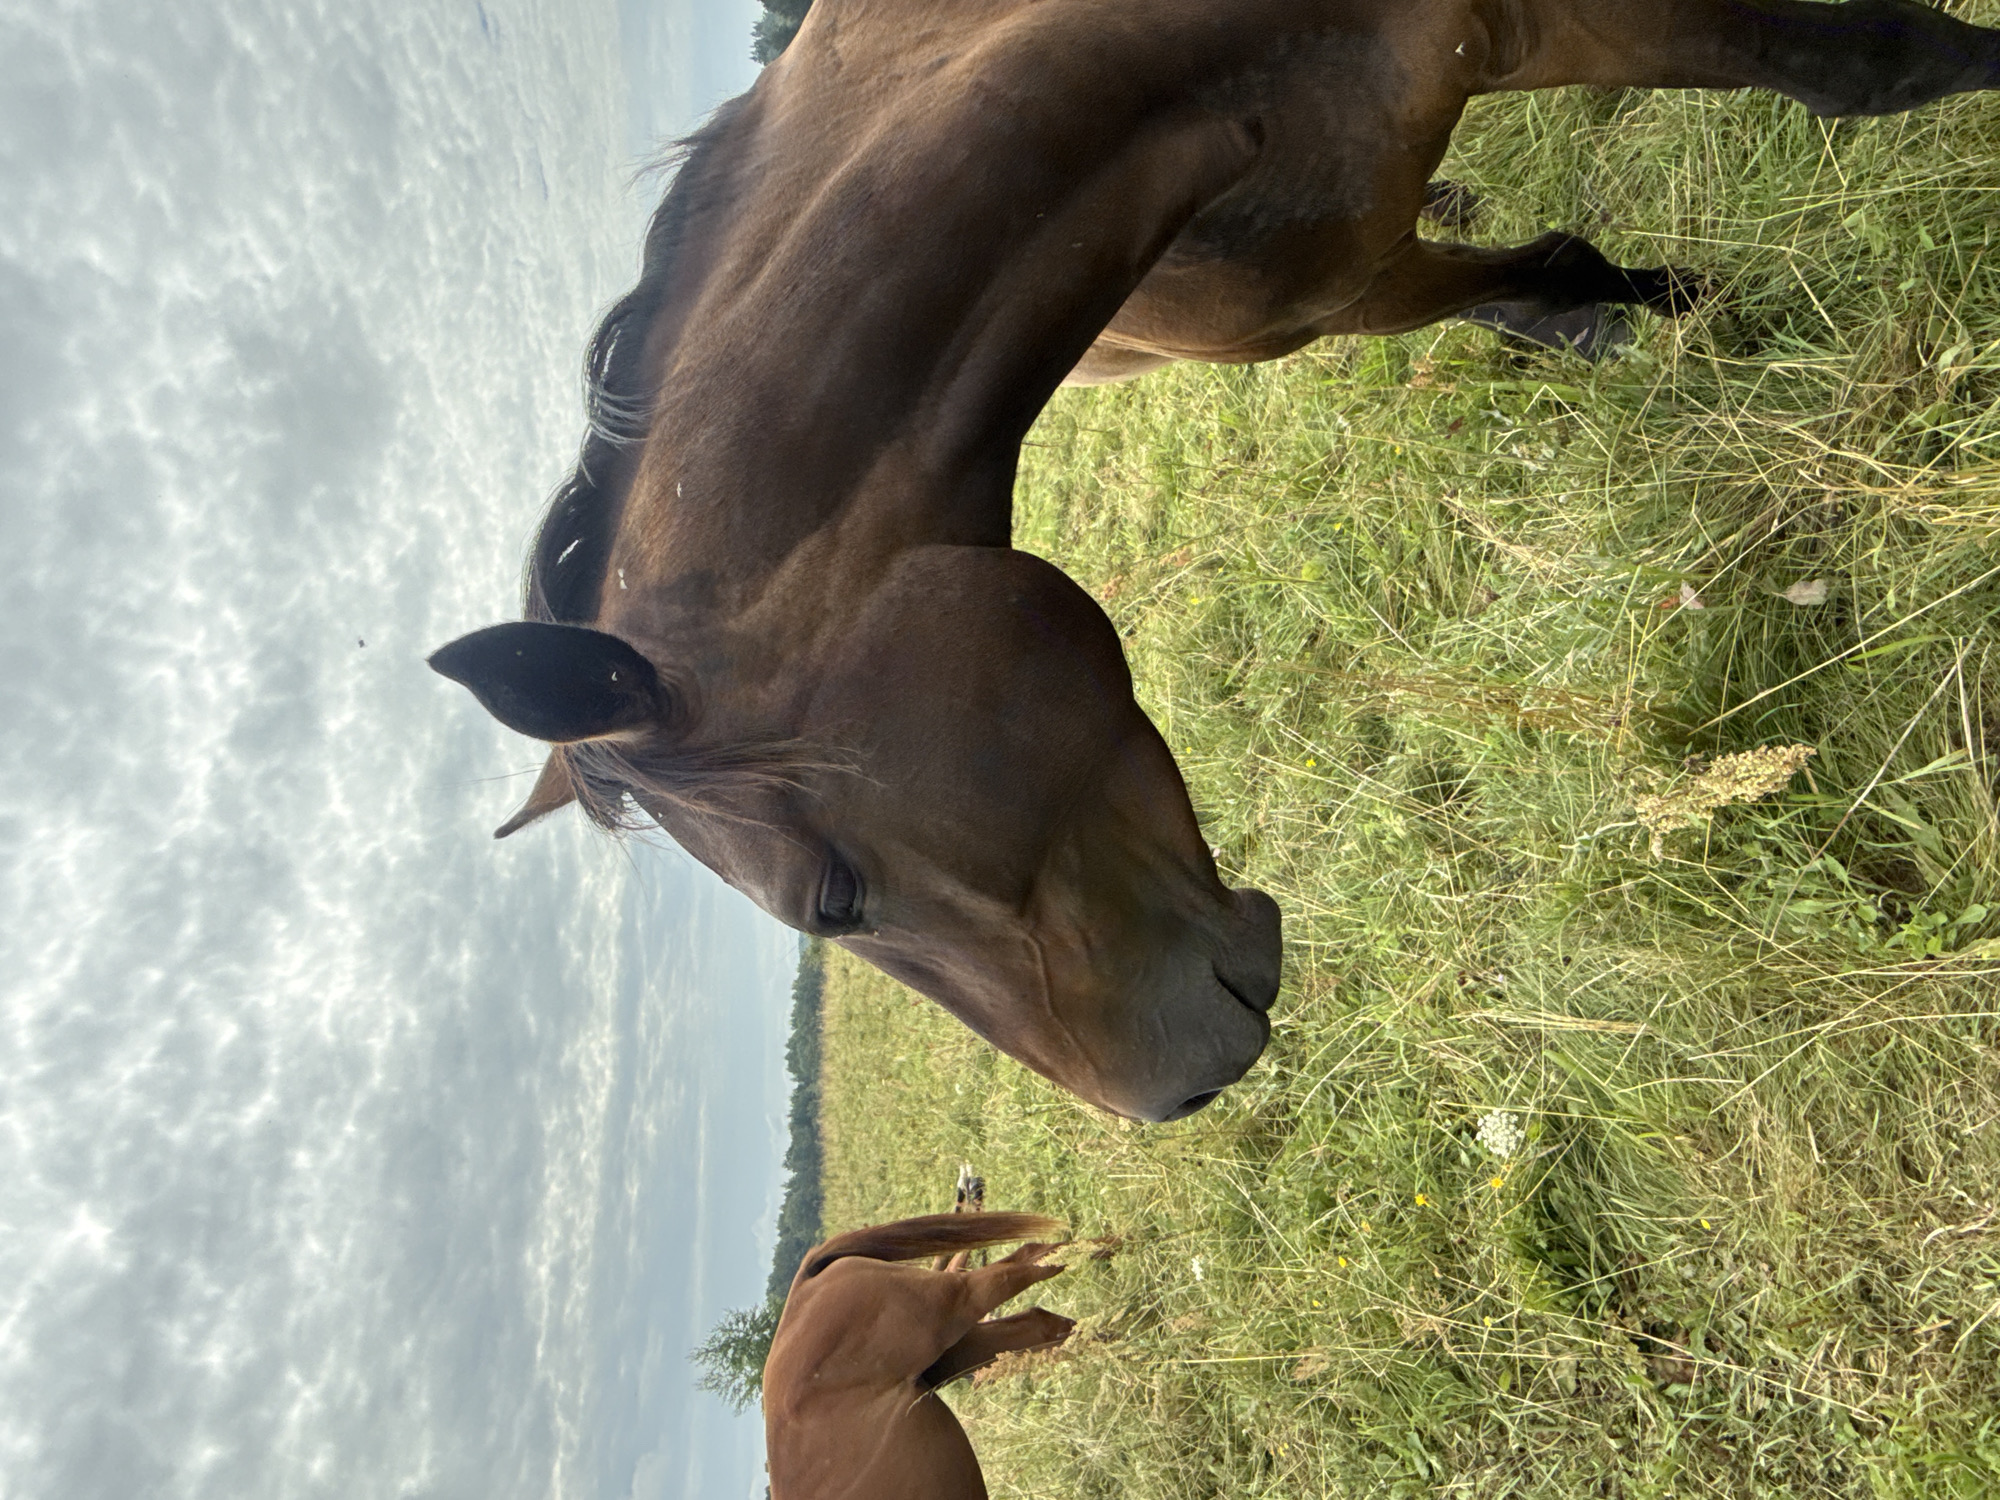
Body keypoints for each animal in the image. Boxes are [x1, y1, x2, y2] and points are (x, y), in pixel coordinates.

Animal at [431, 0, 2000, 1121]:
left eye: (835, 900)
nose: (1165, 1097)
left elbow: (1870, 65)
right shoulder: (1351, 277)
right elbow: (1541, 278)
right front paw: (1647, 310)